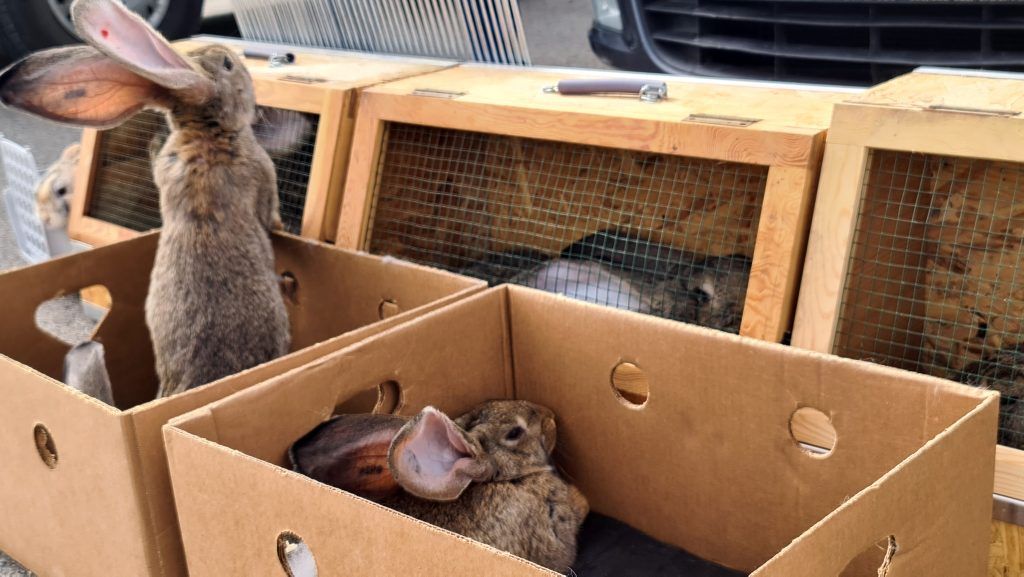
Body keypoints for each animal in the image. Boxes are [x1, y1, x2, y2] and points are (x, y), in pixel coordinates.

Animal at [0, 0, 290, 397]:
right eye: (227, 64)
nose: (242, 64)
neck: (205, 133)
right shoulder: (263, 177)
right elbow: (270, 215)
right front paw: (284, 225)